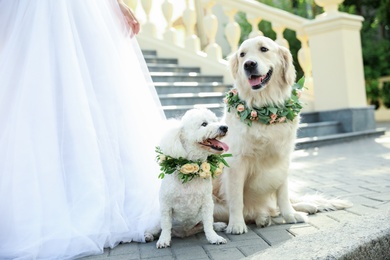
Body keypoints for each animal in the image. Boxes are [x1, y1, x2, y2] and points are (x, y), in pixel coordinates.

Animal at [155, 108, 229, 249]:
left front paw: (214, 238)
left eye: (215, 121)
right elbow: (166, 226)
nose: (225, 127)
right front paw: (164, 240)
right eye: (204, 124)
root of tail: (186, 233)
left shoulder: (207, 203)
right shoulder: (166, 205)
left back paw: (218, 225)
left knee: (204, 225)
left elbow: (208, 224)